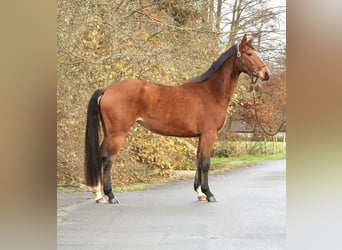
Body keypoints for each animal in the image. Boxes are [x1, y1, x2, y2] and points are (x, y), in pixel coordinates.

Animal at [85, 34, 270, 203]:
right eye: (249, 53)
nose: (266, 74)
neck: (211, 92)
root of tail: (107, 89)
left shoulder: (201, 136)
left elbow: (198, 160)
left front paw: (199, 193)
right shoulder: (209, 134)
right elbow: (205, 162)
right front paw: (209, 193)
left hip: (109, 133)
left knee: (100, 156)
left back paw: (99, 194)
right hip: (117, 134)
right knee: (107, 159)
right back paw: (110, 195)